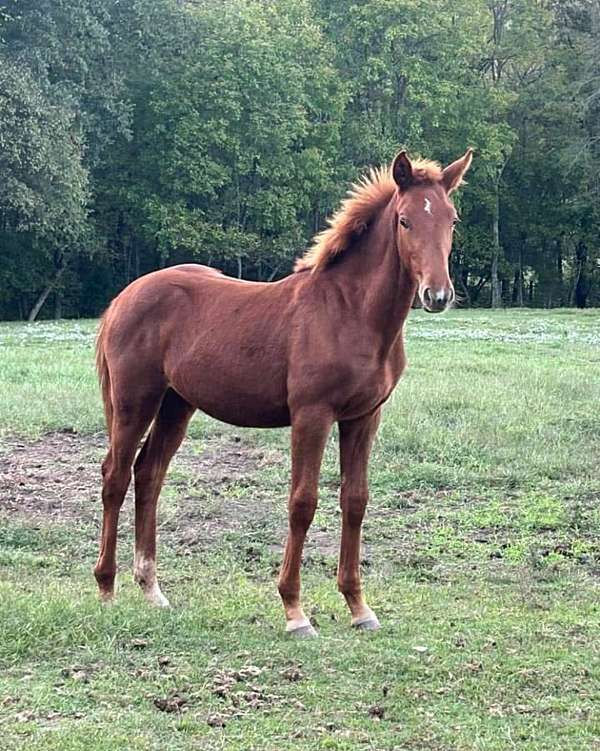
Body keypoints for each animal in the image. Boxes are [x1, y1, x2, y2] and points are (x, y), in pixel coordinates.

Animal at [92, 150, 474, 636]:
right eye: (405, 220)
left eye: (452, 219)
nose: (437, 294)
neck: (350, 312)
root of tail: (124, 297)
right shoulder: (312, 415)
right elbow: (302, 502)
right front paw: (295, 611)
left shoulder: (364, 416)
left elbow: (355, 500)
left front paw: (359, 607)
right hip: (134, 401)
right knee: (116, 475)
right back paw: (106, 588)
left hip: (178, 404)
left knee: (149, 473)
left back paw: (152, 589)